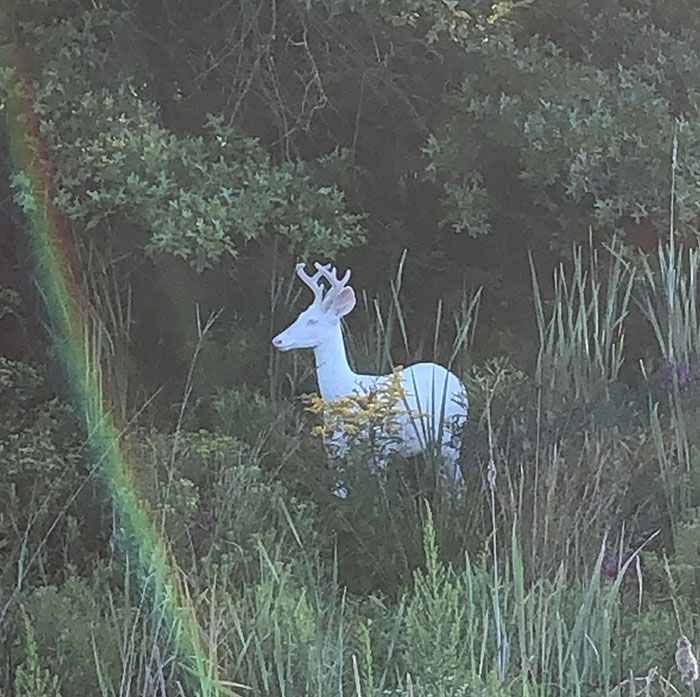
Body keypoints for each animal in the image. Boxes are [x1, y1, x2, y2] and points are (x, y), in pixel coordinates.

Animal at [272, 262, 469, 497]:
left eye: (312, 321)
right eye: (300, 315)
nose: (278, 340)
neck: (342, 392)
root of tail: (458, 382)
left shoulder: (381, 446)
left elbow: (378, 487)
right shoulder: (333, 445)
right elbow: (339, 490)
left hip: (451, 435)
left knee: (458, 482)